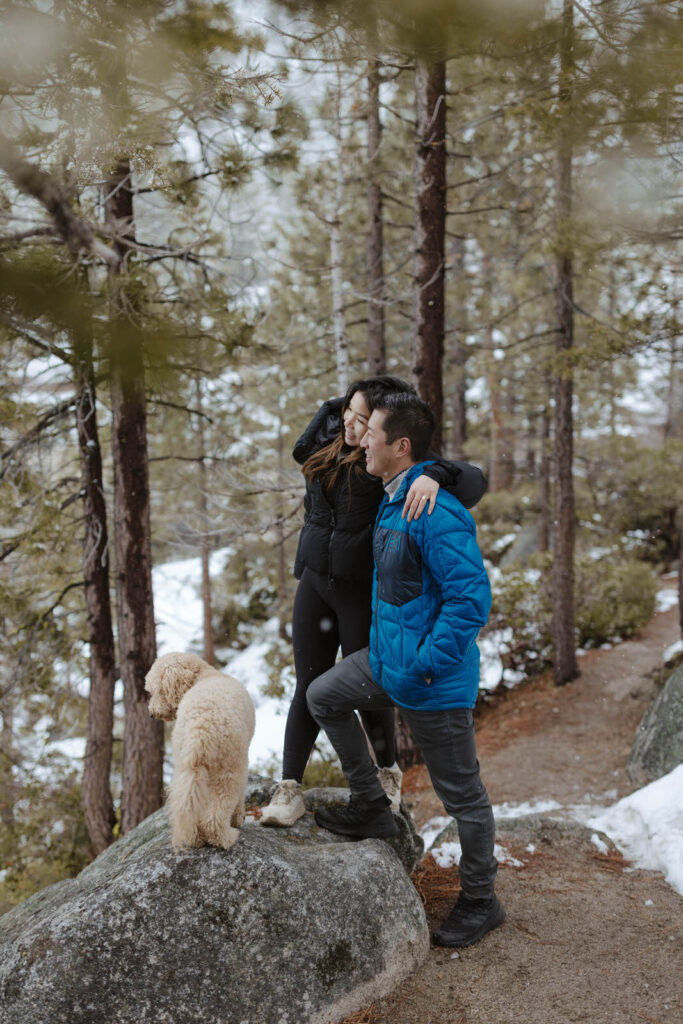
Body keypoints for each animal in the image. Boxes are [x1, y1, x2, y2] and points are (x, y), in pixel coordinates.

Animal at [143, 651, 254, 851]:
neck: (204, 675)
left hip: (186, 765)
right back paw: (226, 837)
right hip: (228, 768)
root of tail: (200, 729)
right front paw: (238, 818)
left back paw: (195, 838)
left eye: (158, 691)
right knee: (217, 812)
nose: (151, 713)